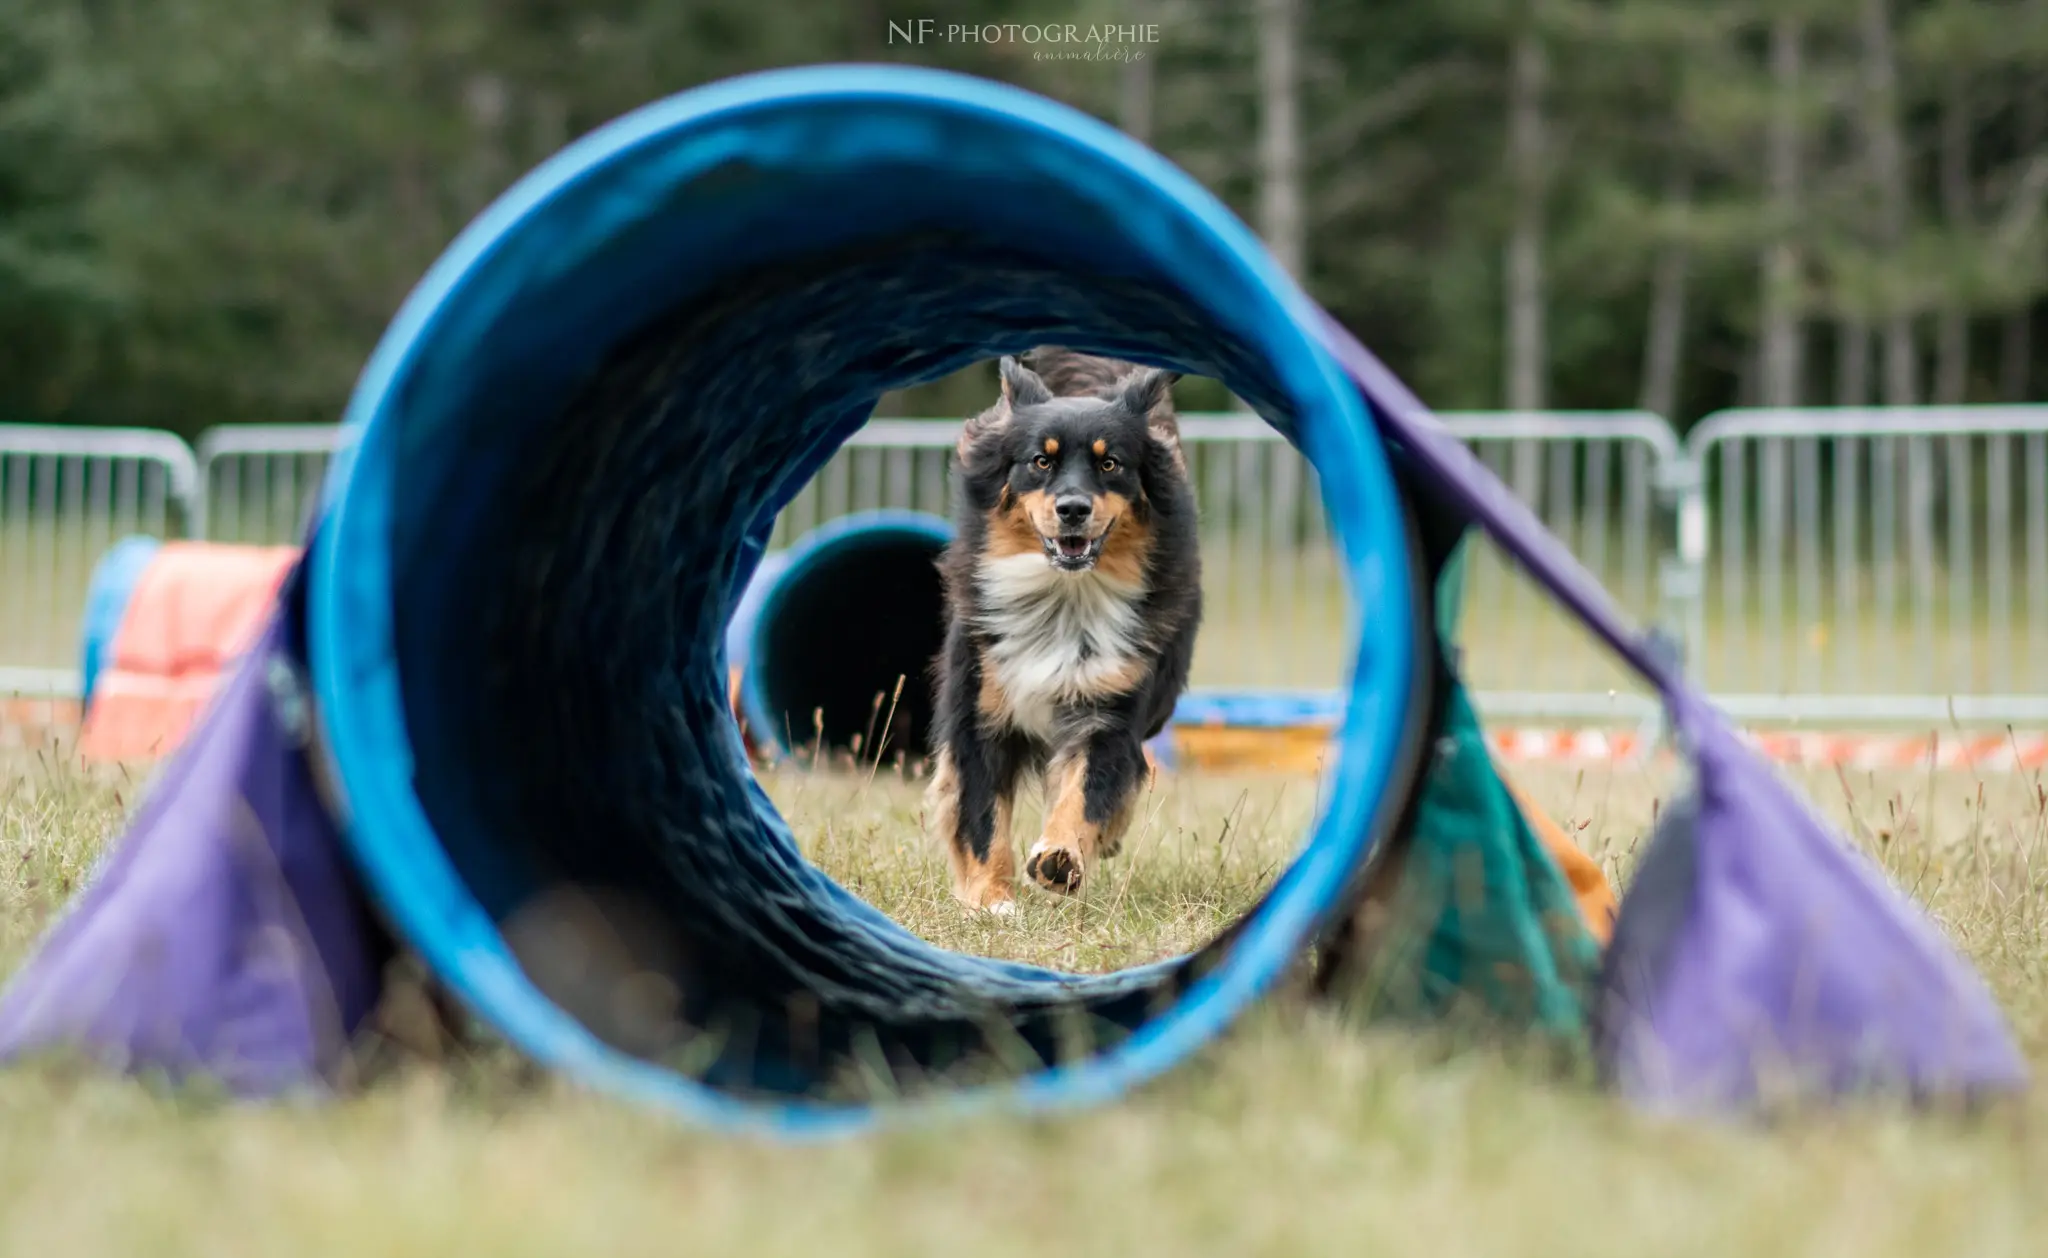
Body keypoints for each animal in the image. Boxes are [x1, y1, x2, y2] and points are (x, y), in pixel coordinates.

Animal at [925, 350, 1196, 913]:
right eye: (1040, 461)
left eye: (1110, 463)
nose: (1073, 509)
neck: (1061, 599)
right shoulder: (978, 709)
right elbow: (981, 814)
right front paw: (991, 898)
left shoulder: (1108, 708)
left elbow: (1088, 789)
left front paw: (1061, 856)